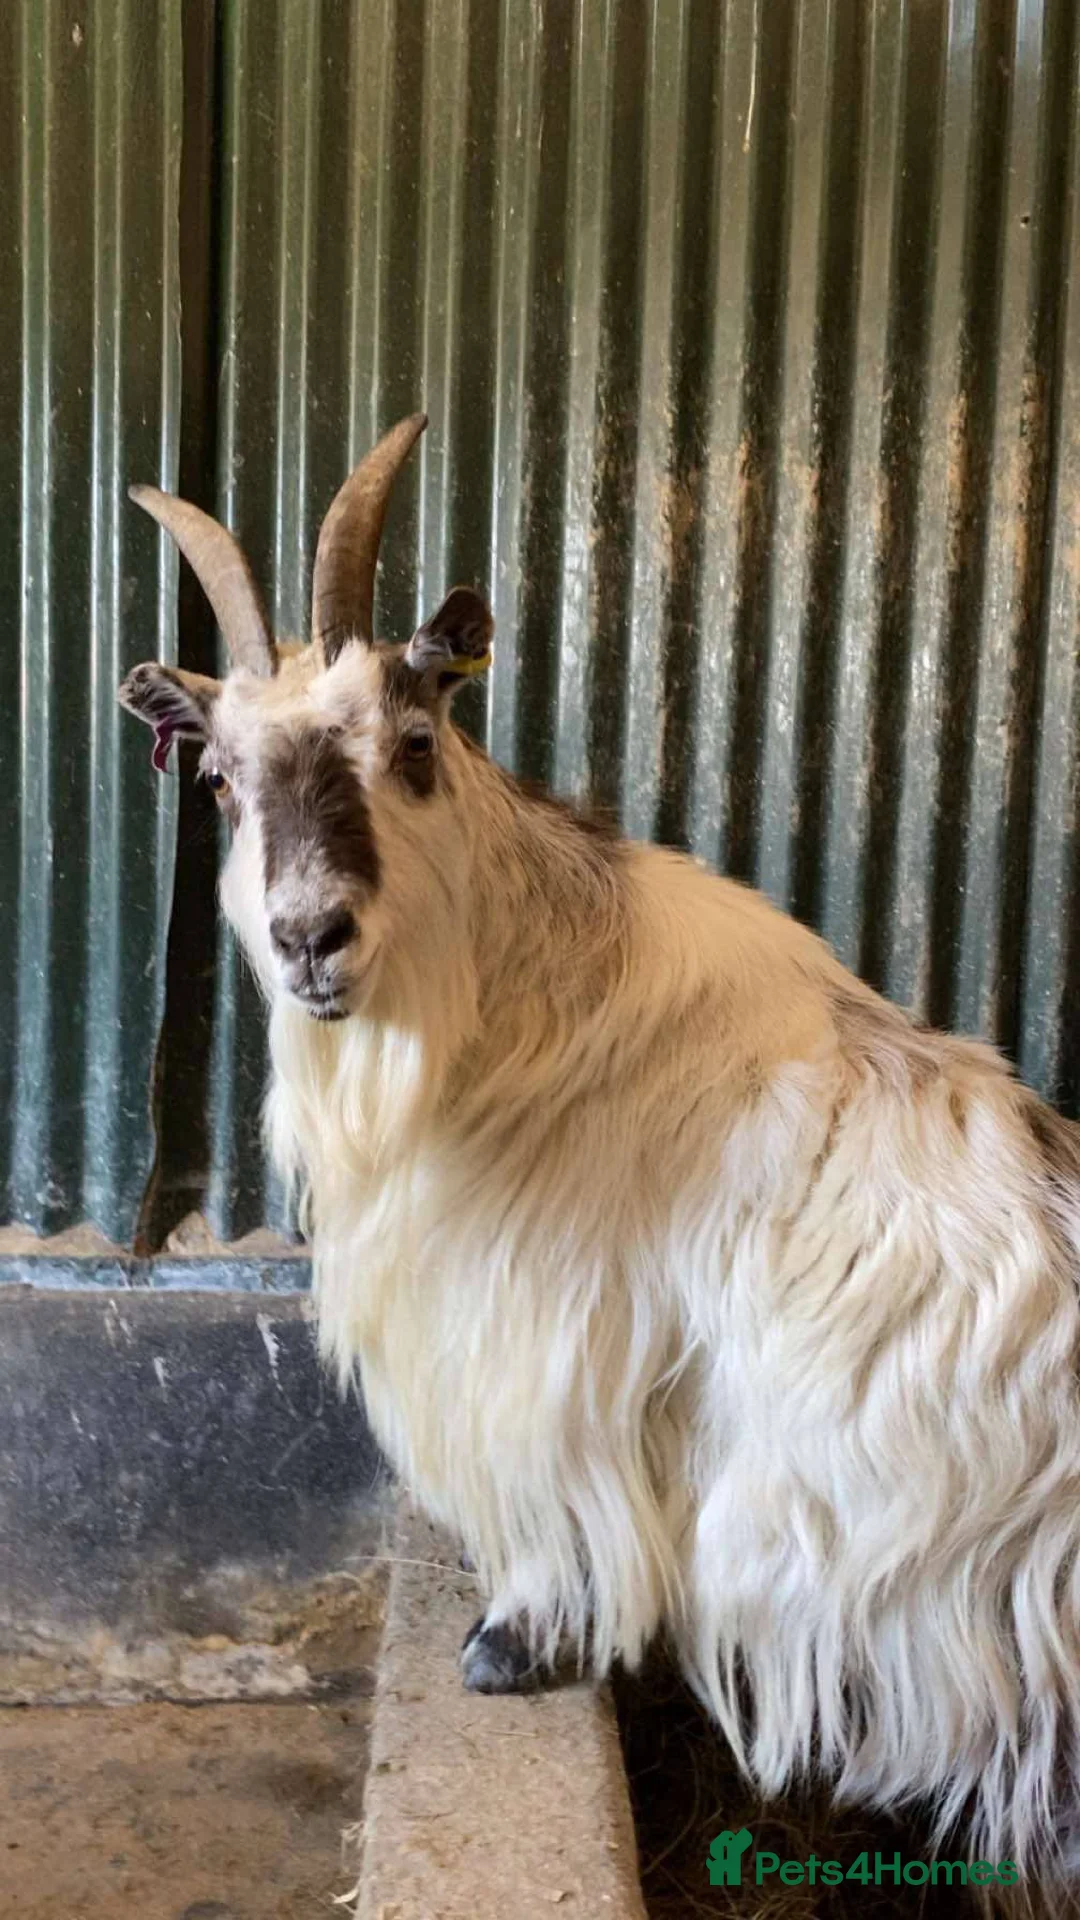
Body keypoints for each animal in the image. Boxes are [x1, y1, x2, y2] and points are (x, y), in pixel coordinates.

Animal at [120, 414, 1080, 1887]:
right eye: (222, 780)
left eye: (414, 743)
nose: (310, 938)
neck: (534, 1009)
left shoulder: (549, 1342)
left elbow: (552, 1503)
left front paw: (510, 1645)